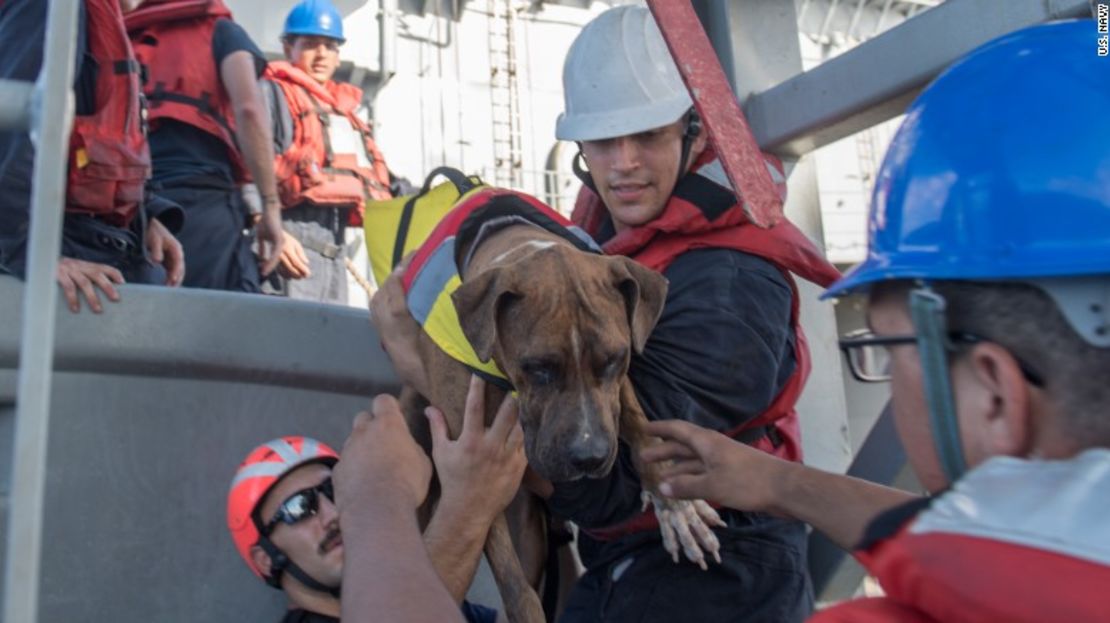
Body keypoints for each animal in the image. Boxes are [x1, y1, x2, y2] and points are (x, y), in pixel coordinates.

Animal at [377, 212, 723, 617]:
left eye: (614, 359)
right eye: (538, 368)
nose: (589, 457)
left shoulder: (617, 385)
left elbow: (641, 426)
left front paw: (675, 506)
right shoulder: (469, 466)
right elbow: (513, 581)